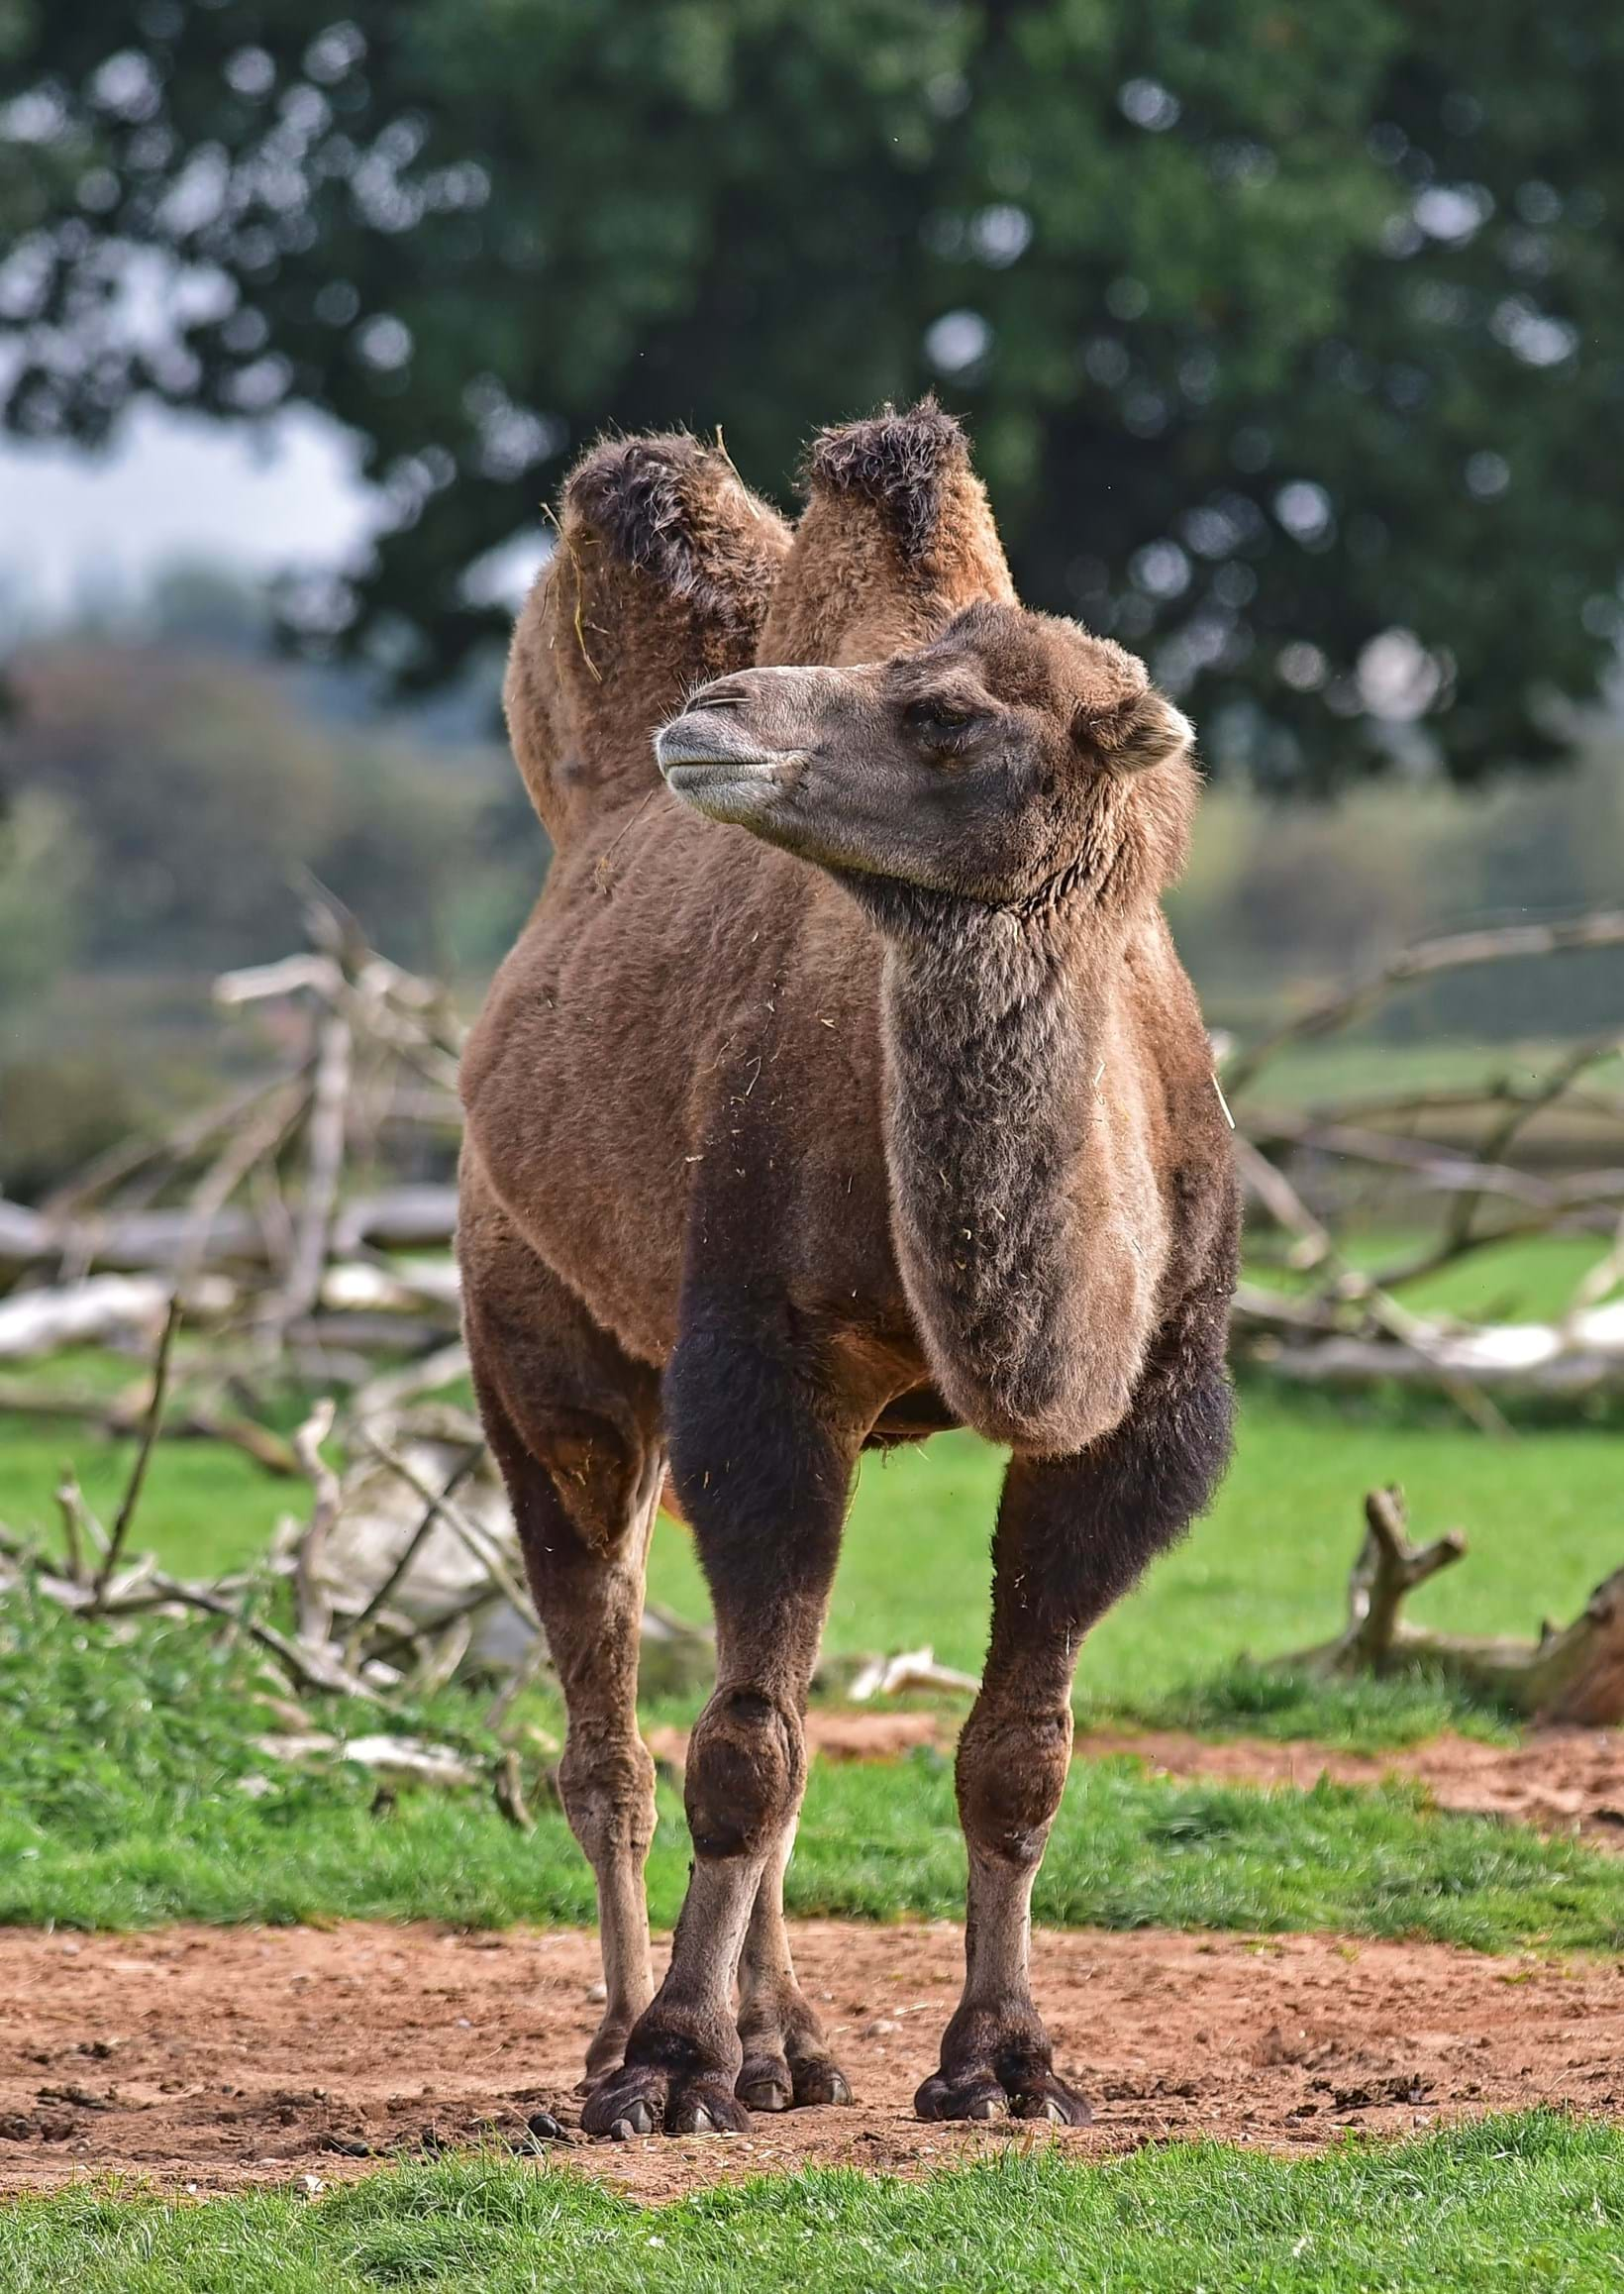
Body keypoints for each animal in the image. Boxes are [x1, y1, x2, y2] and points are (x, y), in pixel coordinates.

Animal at [460, 398, 1248, 2129]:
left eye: (946, 714)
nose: (710, 716)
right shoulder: (764, 1359)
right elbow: (742, 1752)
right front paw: (670, 2067)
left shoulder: (1145, 1411)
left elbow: (1015, 1752)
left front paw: (1005, 2062)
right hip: (539, 1345)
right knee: (612, 1726)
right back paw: (630, 2039)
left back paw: (792, 2048)